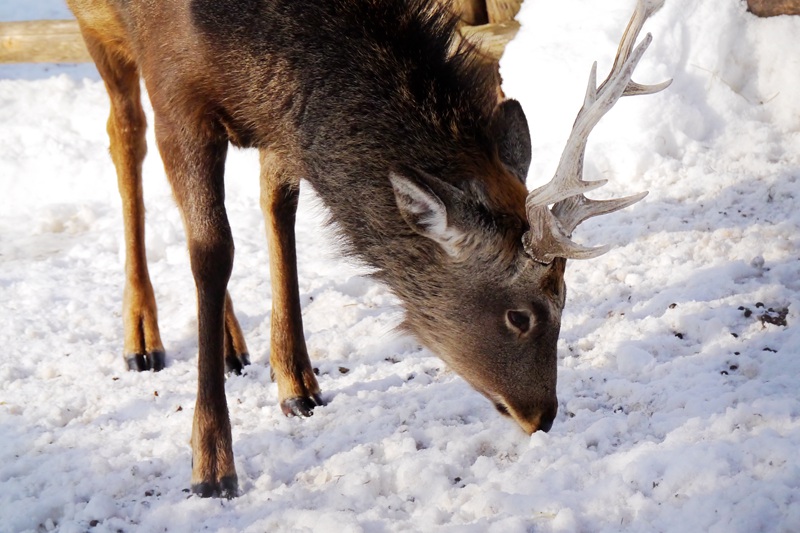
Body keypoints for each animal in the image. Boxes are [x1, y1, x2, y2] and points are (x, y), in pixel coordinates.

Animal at [67, 0, 668, 496]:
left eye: (567, 295)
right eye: (519, 317)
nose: (542, 415)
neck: (241, 36)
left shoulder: (281, 117)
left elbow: (278, 213)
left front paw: (298, 384)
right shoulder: (175, 91)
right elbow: (211, 252)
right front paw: (211, 464)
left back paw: (240, 348)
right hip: (98, 32)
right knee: (124, 136)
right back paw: (142, 337)